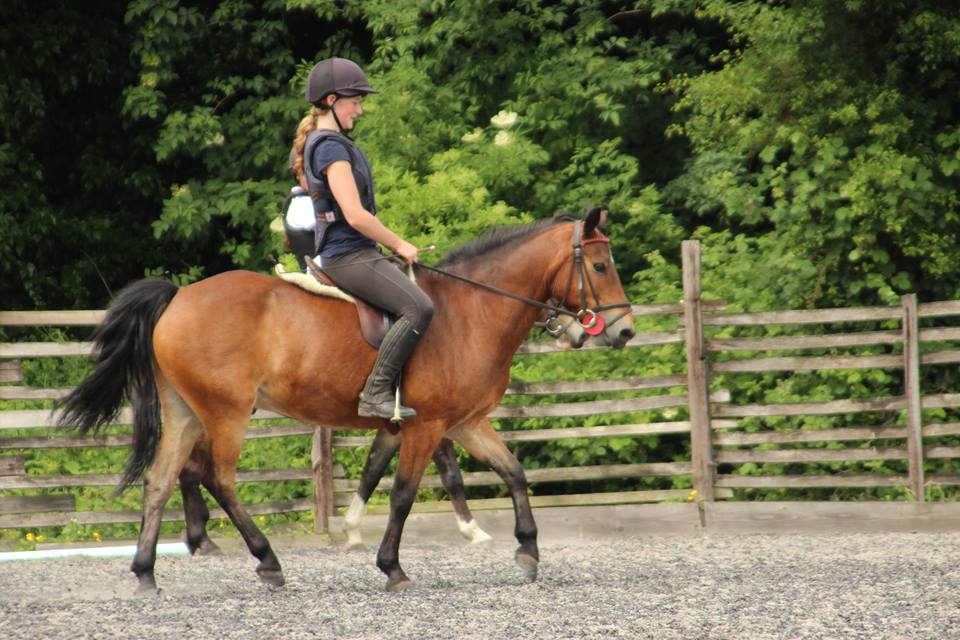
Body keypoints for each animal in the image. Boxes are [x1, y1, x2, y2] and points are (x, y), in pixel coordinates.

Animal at [56, 207, 635, 593]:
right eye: (600, 266)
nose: (624, 331)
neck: (472, 311)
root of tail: (179, 296)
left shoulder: (465, 423)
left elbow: (513, 471)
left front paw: (528, 550)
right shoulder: (428, 426)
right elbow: (403, 492)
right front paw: (392, 566)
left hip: (185, 411)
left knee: (160, 480)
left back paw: (146, 572)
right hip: (225, 412)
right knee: (216, 478)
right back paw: (266, 560)